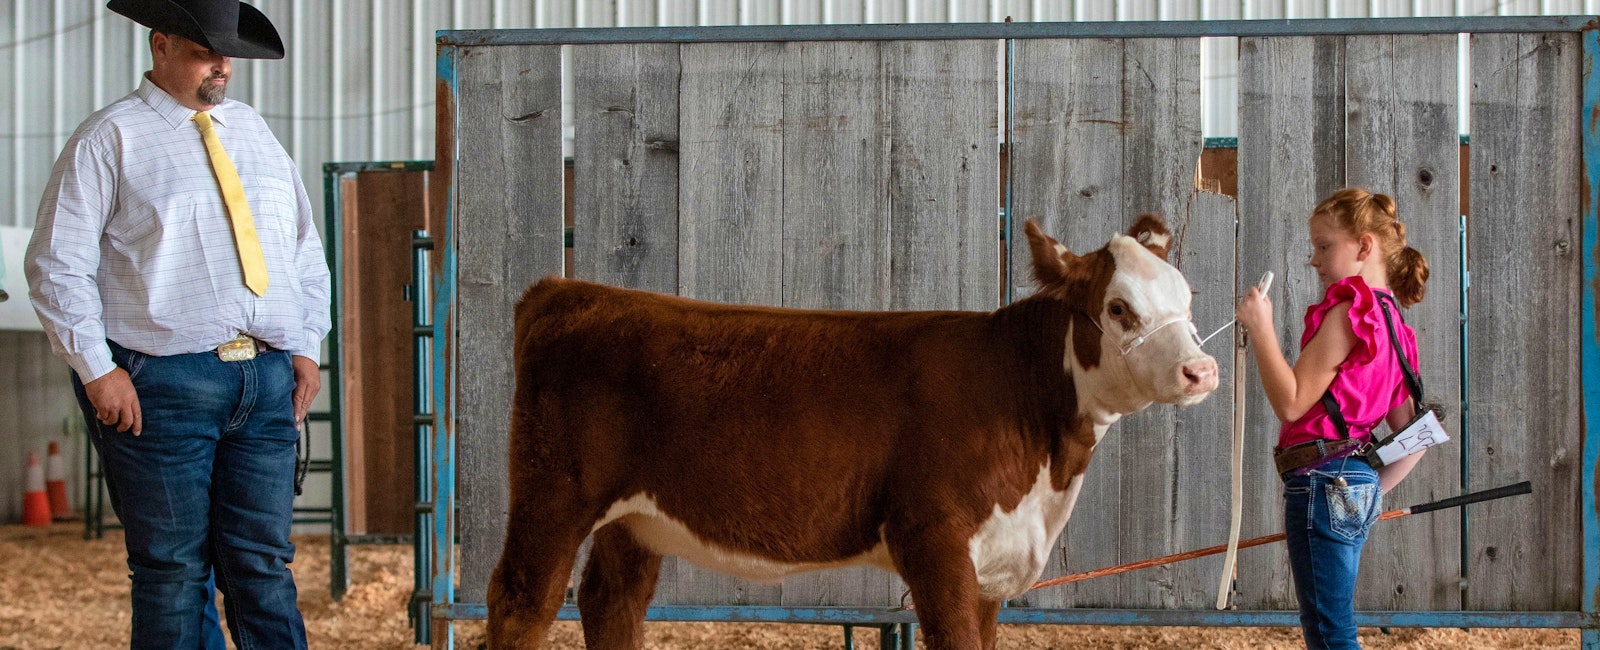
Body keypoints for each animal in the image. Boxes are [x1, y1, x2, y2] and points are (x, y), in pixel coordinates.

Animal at [487, 216, 1220, 650]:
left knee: (612, 602)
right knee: (523, 602)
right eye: (1119, 308)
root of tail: (567, 292)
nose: (1202, 369)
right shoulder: (932, 537)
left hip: (633, 519)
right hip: (553, 497)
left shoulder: (994, 561)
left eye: (1187, 297)